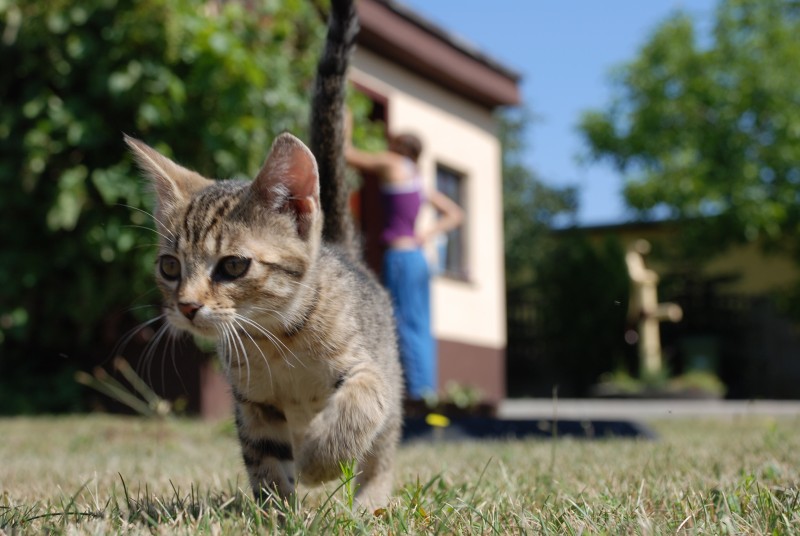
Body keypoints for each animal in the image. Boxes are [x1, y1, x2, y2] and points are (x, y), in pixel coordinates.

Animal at [126, 0, 400, 506]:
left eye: (233, 266)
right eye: (170, 267)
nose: (186, 306)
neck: (276, 339)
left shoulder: (368, 369)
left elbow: (362, 404)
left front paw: (317, 462)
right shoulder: (252, 402)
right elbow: (266, 459)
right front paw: (277, 512)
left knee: (382, 450)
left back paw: (370, 503)